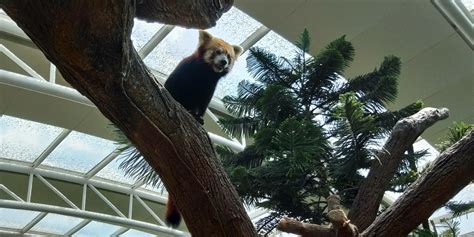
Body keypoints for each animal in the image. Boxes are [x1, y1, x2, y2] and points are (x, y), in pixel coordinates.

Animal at [164, 30, 244, 227]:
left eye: (229, 57)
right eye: (217, 52)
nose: (223, 62)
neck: (205, 74)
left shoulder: (207, 89)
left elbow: (202, 104)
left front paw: (198, 116)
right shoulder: (183, 73)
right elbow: (173, 89)